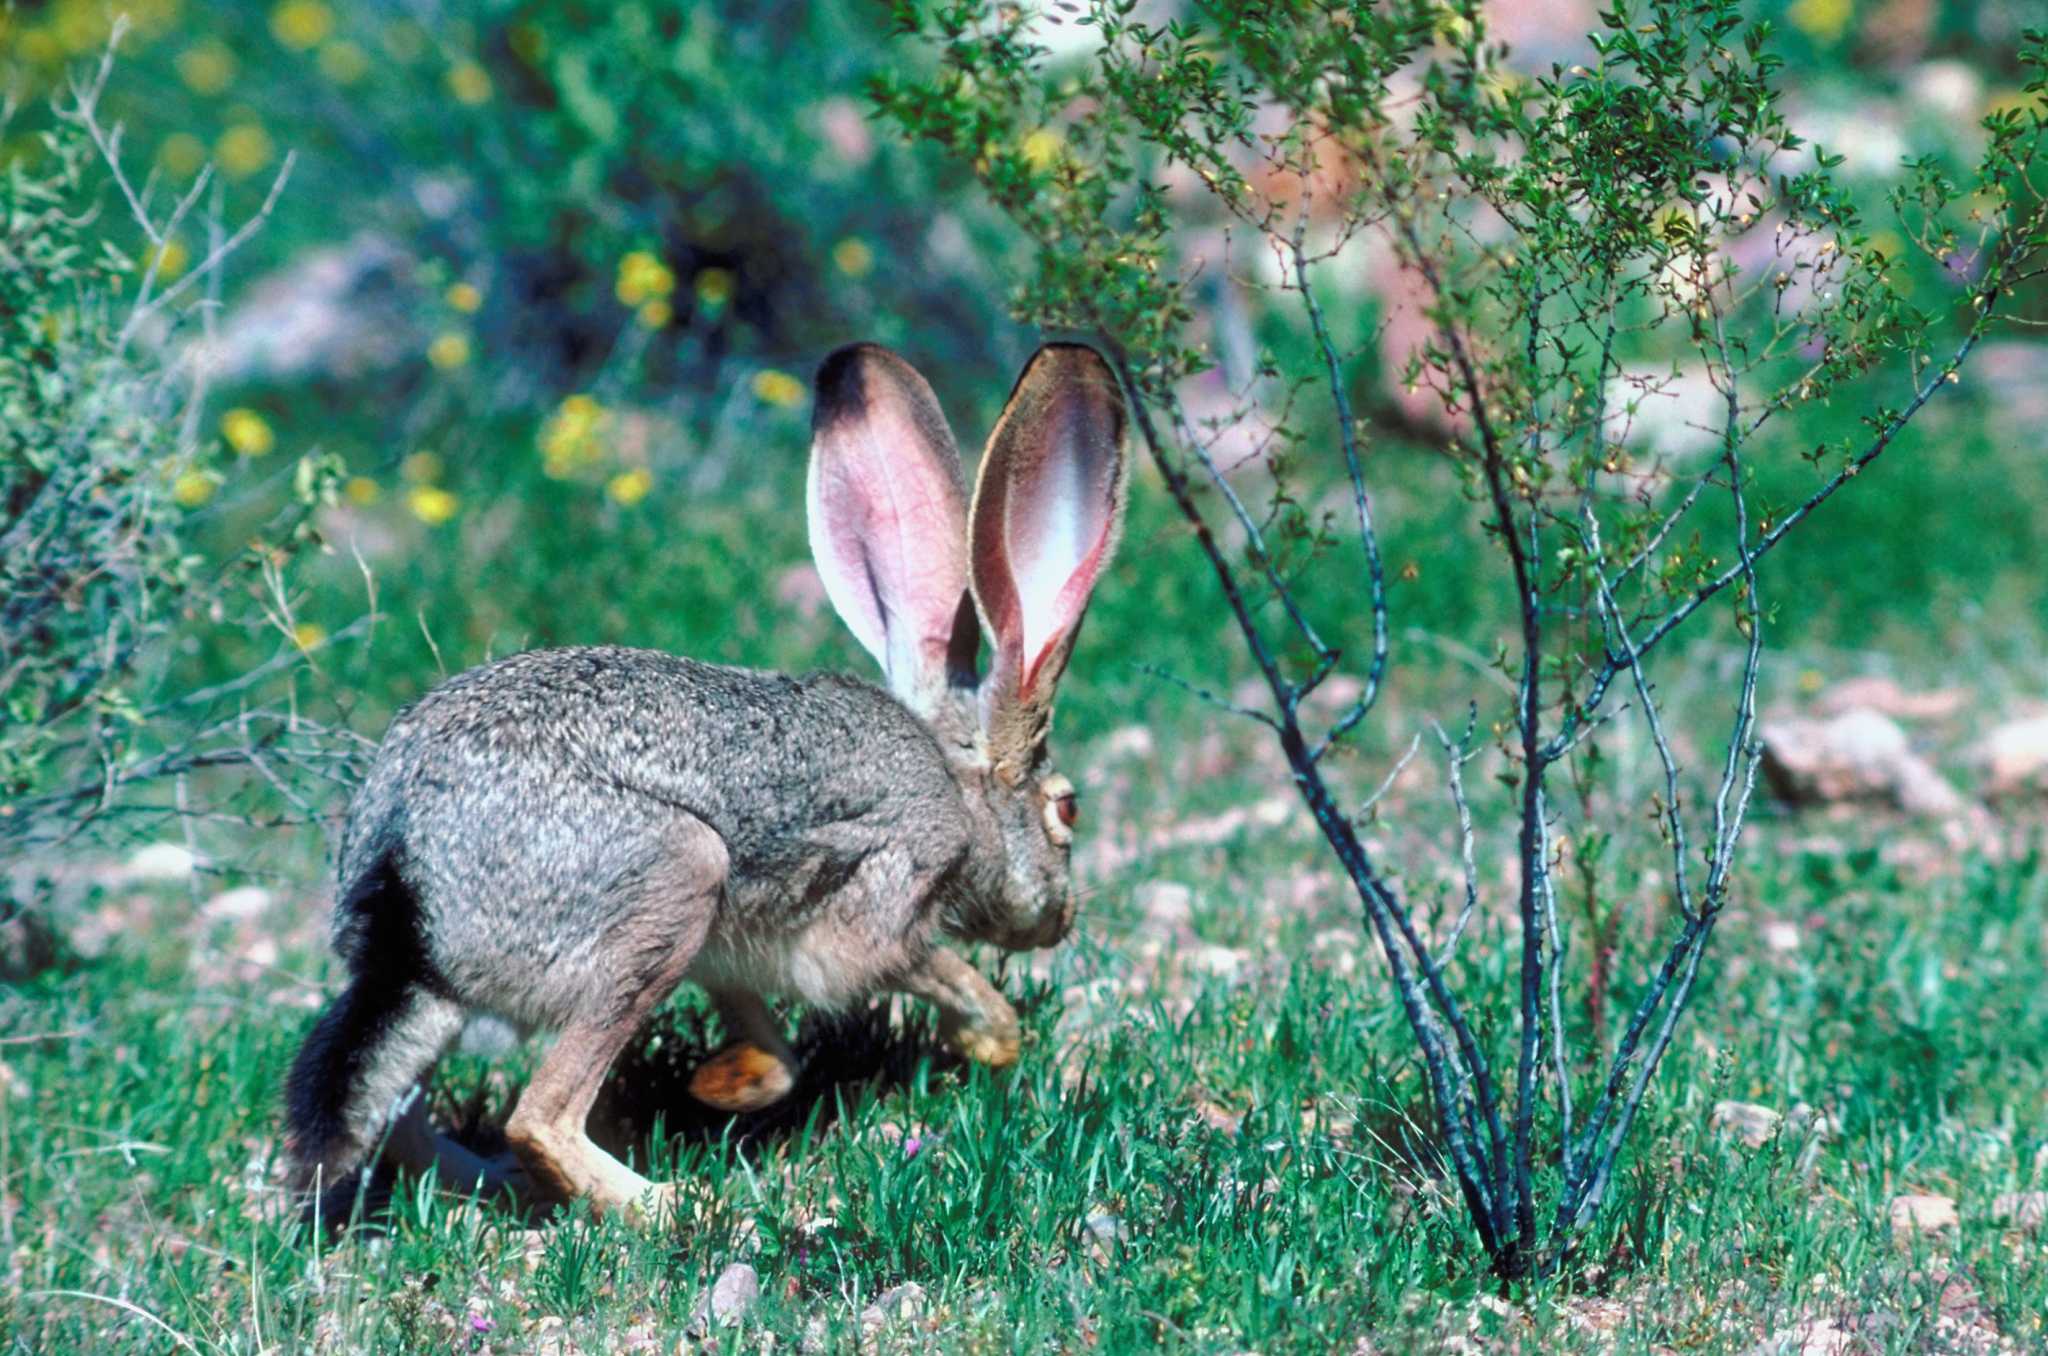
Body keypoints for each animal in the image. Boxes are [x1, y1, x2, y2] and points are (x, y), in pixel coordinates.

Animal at [284, 341, 1128, 1220]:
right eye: (1069, 809)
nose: (1061, 918)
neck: (961, 795)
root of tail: (407, 876)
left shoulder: (730, 956)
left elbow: (773, 1045)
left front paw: (723, 1085)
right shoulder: (878, 915)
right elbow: (933, 970)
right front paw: (993, 1038)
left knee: (400, 1117)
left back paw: (498, 1180)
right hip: (675, 881)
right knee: (540, 1118)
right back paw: (669, 1204)